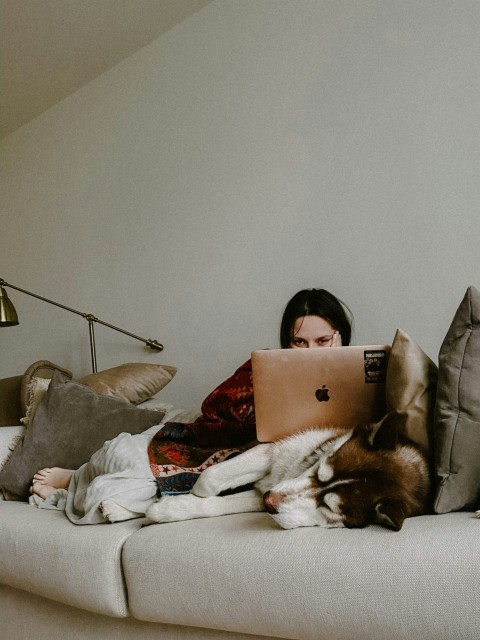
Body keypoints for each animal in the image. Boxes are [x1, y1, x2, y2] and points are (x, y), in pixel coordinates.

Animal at [146, 412, 432, 532]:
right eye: (320, 469)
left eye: (330, 509)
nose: (269, 501)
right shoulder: (273, 452)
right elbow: (208, 479)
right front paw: (180, 497)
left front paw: (171, 508)